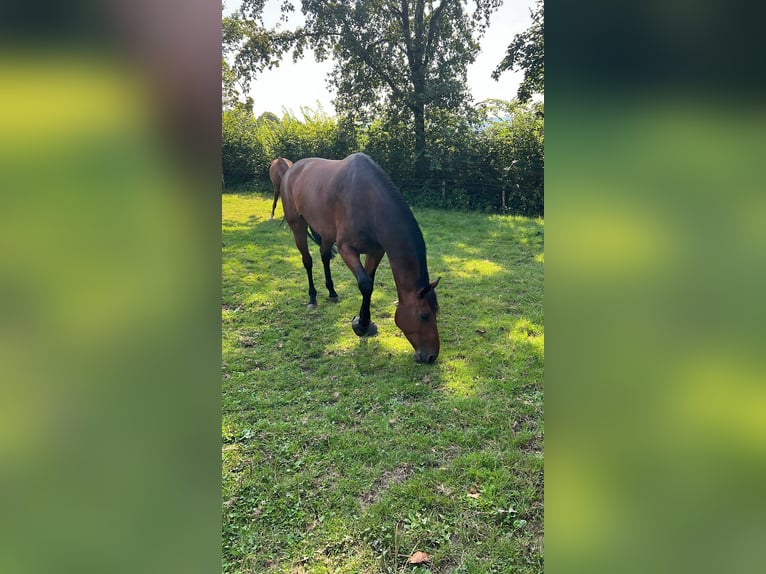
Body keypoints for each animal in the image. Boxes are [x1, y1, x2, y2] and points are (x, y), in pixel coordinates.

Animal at [280, 151, 440, 362]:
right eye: (424, 315)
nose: (431, 356)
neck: (369, 203)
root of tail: (291, 170)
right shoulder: (346, 249)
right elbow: (365, 284)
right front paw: (360, 325)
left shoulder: (376, 250)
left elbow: (369, 283)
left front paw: (366, 322)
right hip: (298, 225)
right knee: (308, 261)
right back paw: (313, 298)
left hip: (326, 232)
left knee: (324, 257)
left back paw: (332, 292)